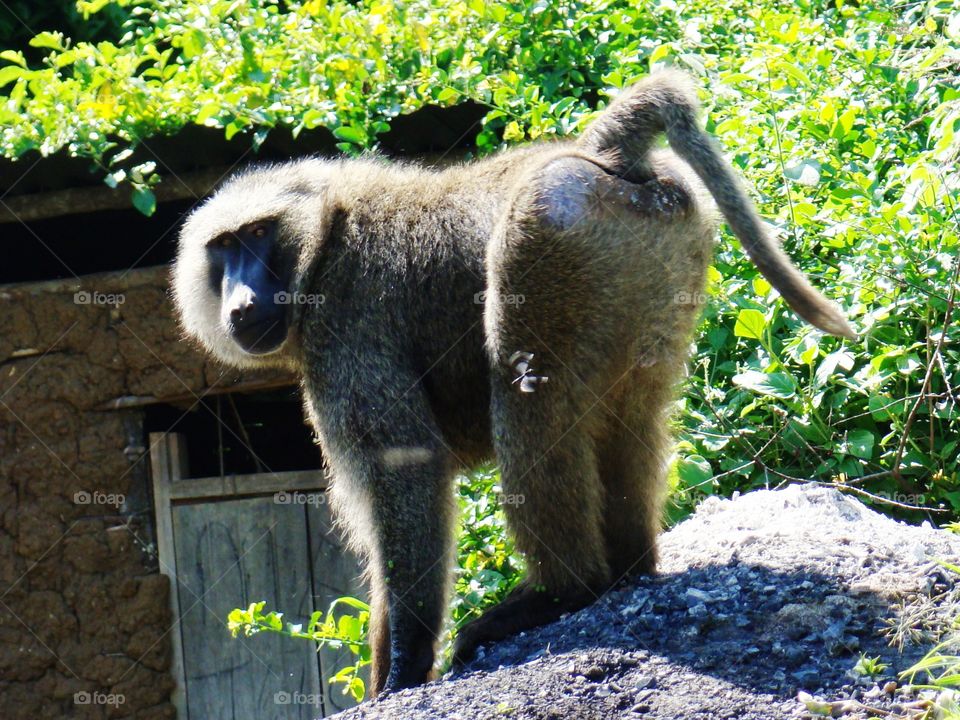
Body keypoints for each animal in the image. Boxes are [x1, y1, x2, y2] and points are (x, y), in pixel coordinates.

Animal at [172, 69, 855, 697]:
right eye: (223, 248)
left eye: (259, 234)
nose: (240, 304)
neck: (324, 236)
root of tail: (601, 152)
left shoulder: (350, 324)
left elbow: (409, 470)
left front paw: (401, 672)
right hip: (658, 251)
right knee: (632, 413)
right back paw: (629, 571)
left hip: (548, 226)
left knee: (530, 391)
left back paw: (563, 592)